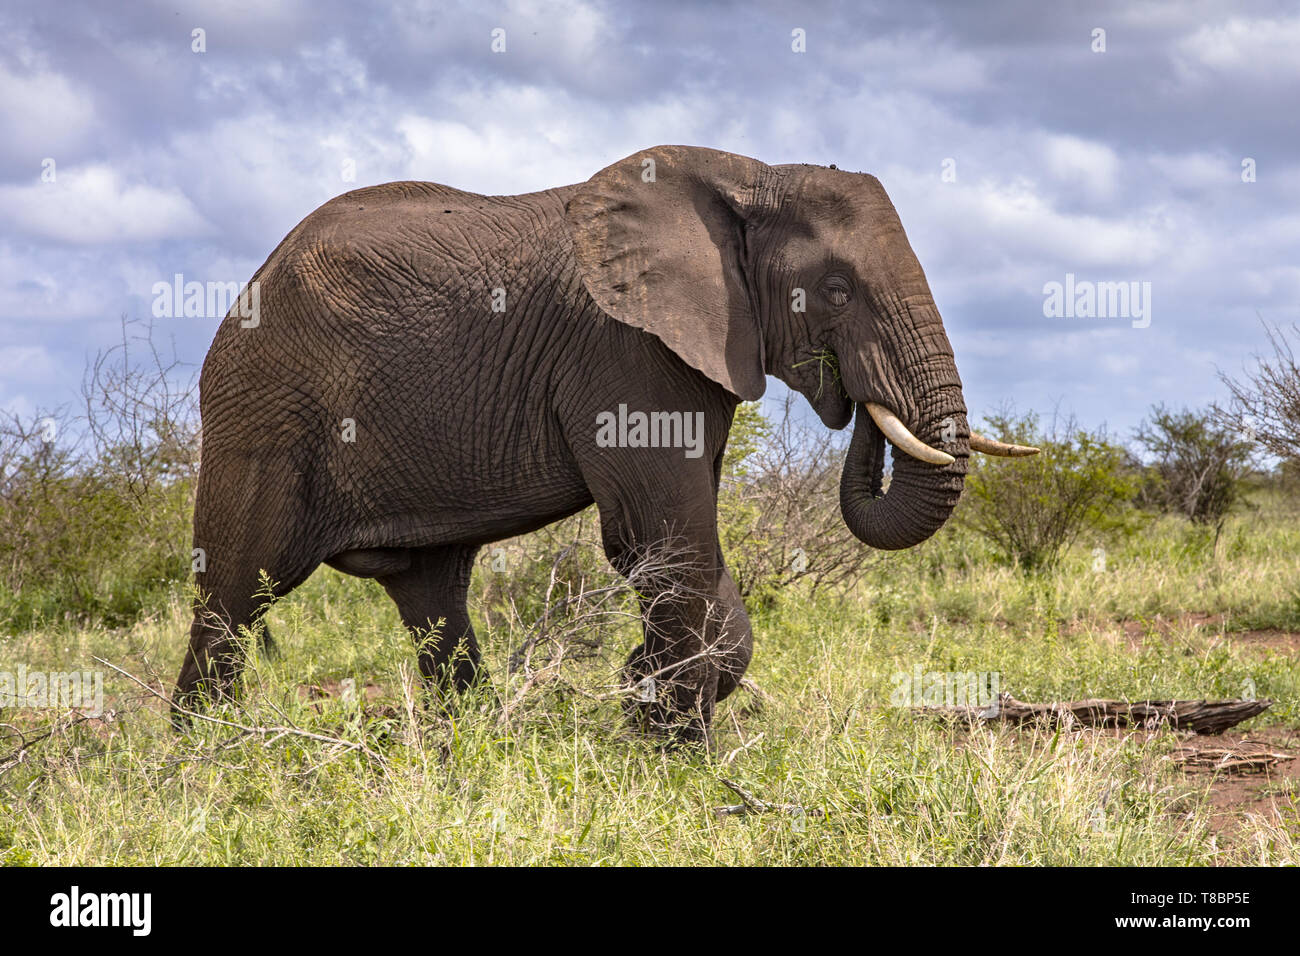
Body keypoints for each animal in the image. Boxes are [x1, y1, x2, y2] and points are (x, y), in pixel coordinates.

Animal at [173, 145, 1036, 744]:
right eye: (834, 290)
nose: (854, 397)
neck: (750, 175)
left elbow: (686, 544)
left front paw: (642, 698)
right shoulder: (624, 347)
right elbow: (665, 537)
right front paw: (676, 751)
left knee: (432, 593)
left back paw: (475, 746)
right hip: (263, 412)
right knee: (234, 593)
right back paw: (204, 760)